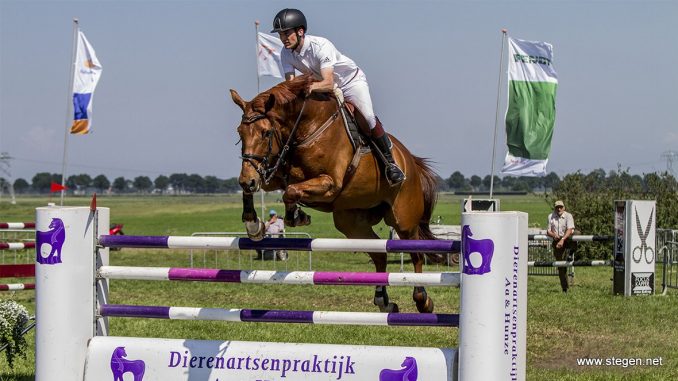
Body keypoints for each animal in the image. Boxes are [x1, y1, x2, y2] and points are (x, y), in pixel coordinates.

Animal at [232, 75, 440, 312]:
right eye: (239, 133)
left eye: (266, 132)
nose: (247, 180)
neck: (305, 129)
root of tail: (410, 161)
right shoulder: (273, 175)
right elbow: (268, 191)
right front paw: (254, 225)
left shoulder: (330, 183)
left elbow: (291, 192)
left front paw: (296, 216)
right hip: (351, 223)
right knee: (379, 254)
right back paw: (383, 301)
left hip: (403, 220)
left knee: (416, 254)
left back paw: (422, 299)